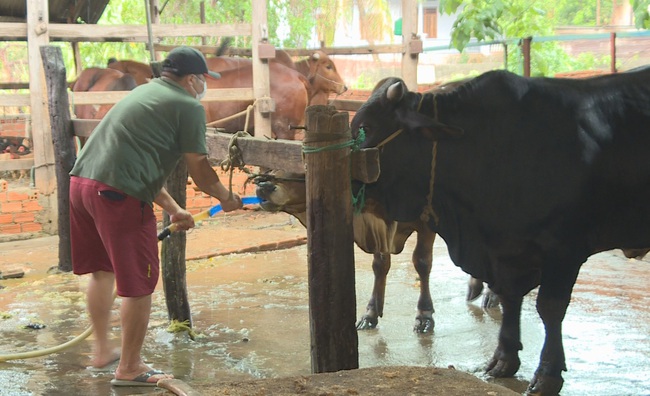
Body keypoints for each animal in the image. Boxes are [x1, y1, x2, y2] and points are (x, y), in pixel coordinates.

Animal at [350, 69, 650, 396]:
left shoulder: (564, 248)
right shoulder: (504, 248)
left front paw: (547, 374)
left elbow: (550, 307)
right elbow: (510, 297)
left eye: (366, 127)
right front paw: (504, 359)